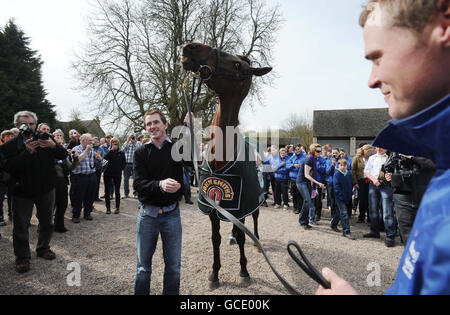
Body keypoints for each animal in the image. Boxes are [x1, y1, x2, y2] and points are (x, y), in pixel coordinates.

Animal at [181, 42, 272, 292]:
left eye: (237, 65)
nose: (191, 47)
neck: (221, 159)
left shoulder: (242, 204)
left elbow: (242, 236)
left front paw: (244, 271)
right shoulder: (214, 207)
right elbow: (216, 239)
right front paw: (214, 273)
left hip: (255, 201)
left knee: (255, 219)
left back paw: (256, 240)